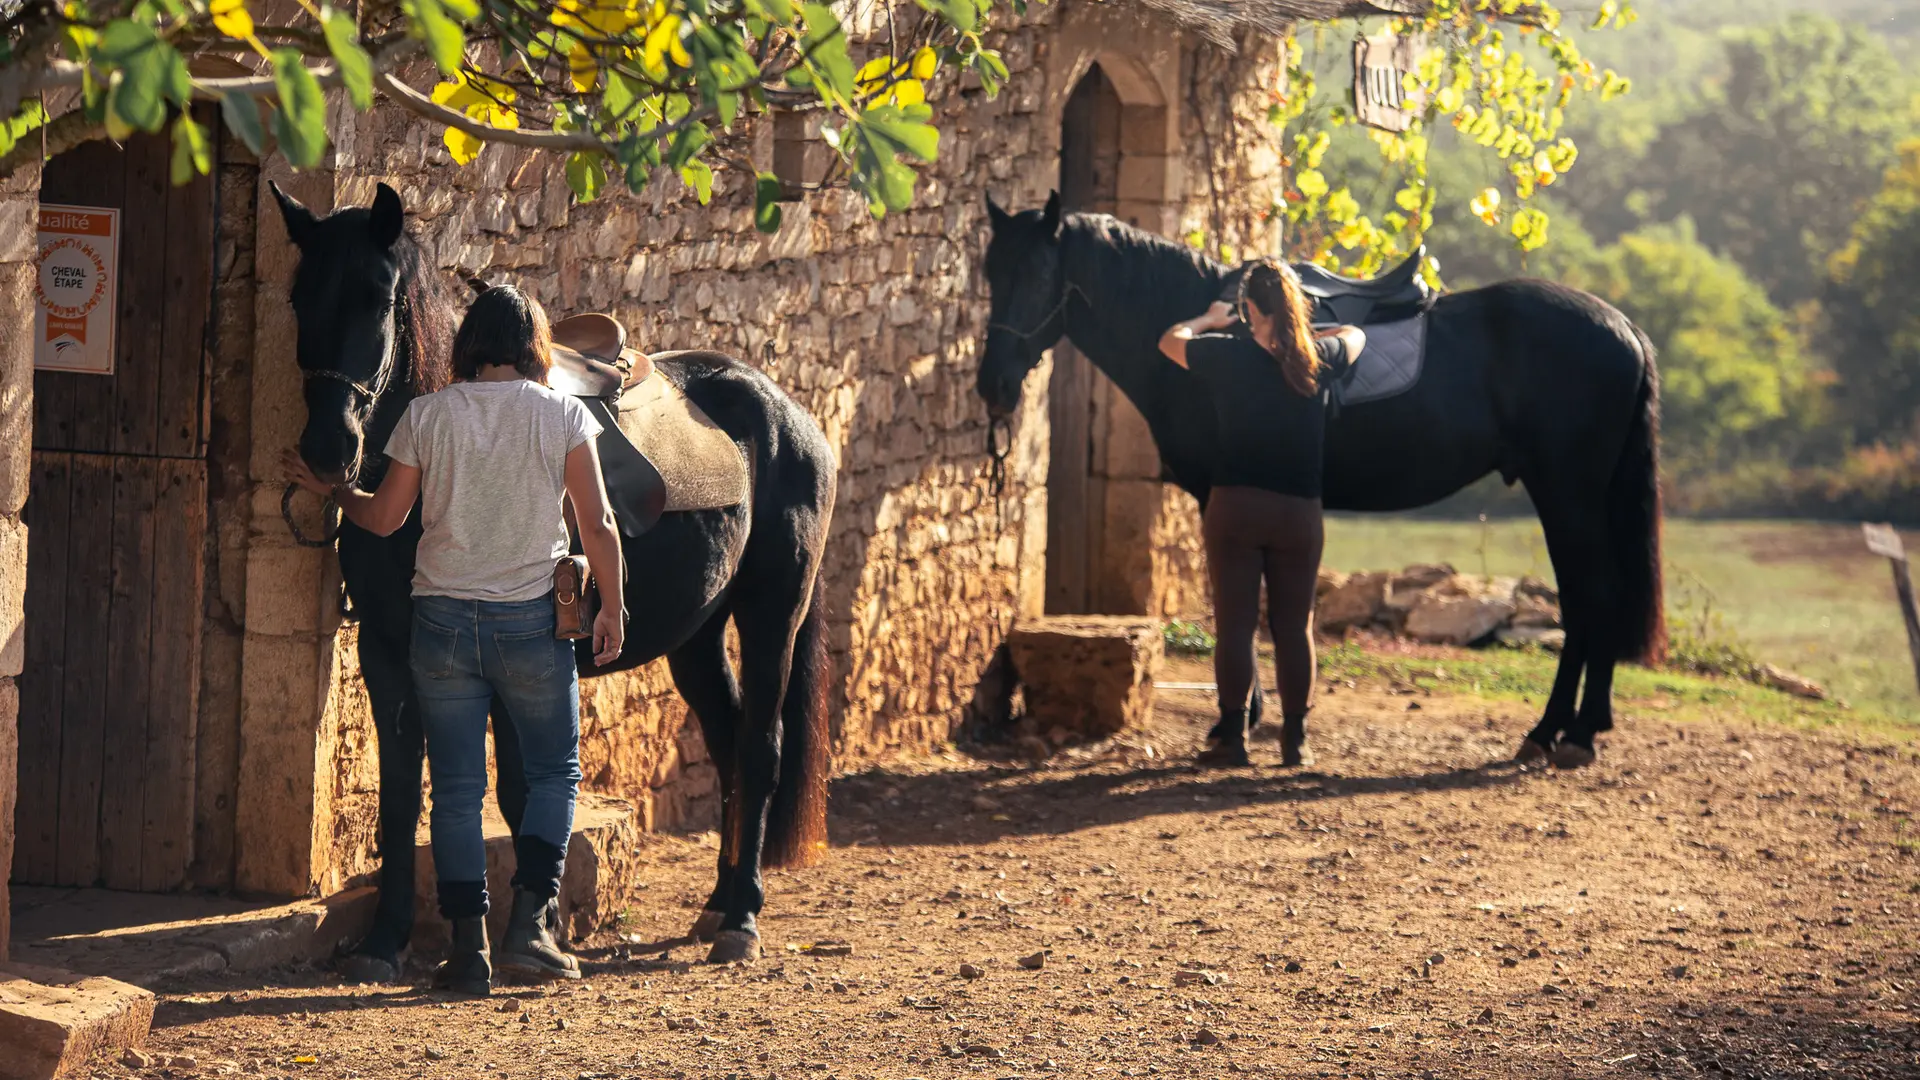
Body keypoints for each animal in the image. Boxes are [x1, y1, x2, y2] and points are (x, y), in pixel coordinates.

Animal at [270, 180, 833, 960]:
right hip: (697, 633)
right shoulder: (389, 652)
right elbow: (402, 797)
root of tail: (788, 415)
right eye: (300, 297)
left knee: (760, 747)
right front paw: (387, 939)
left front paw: (536, 930)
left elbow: (517, 796)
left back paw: (743, 917)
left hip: (771, 611)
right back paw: (719, 903)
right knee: (726, 741)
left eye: (379, 300)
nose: (329, 448)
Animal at [975, 195, 1666, 764]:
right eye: (988, 273)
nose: (992, 384)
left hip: (1567, 496)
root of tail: (1627, 328)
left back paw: (1562, 733)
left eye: (1037, 275)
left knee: (1592, 596)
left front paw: (1237, 721)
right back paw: (1570, 729)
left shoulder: (1215, 496)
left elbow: (1237, 607)